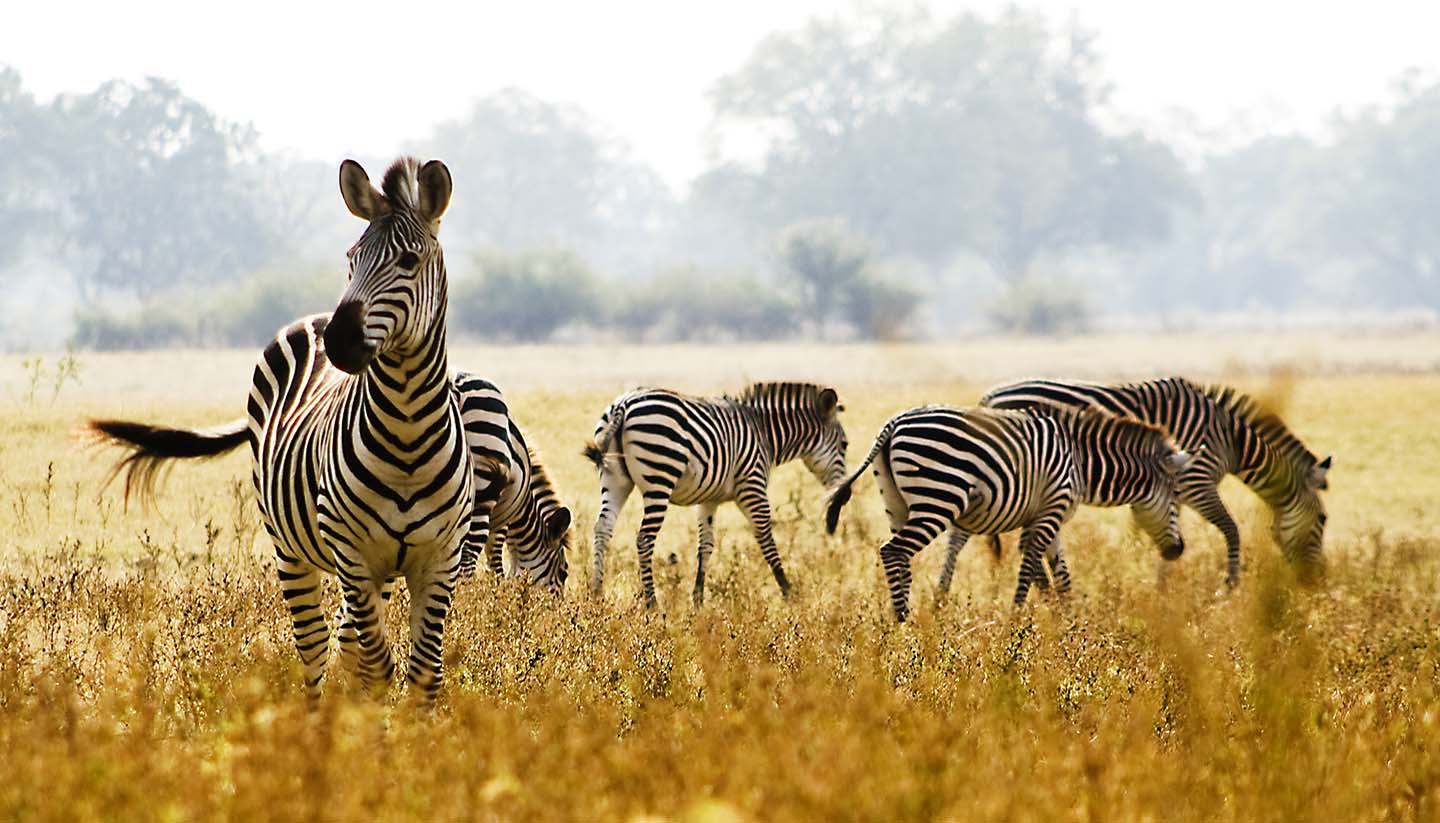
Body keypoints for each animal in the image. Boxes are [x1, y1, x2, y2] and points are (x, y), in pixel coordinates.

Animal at [88, 158, 472, 702]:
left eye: (409, 261)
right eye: (351, 258)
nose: (340, 340)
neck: (408, 434)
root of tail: (312, 318)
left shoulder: (440, 559)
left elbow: (424, 673)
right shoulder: (352, 553)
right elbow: (377, 666)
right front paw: (368, 728)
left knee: (345, 644)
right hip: (292, 548)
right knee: (314, 648)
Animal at [584, 382, 846, 607]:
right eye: (845, 445)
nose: (843, 497)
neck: (765, 432)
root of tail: (624, 404)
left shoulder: (708, 500)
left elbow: (706, 546)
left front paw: (698, 600)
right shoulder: (752, 486)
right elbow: (766, 539)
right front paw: (788, 592)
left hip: (615, 479)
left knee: (603, 529)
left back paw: (597, 594)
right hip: (660, 477)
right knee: (645, 539)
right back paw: (652, 604)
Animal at [829, 402, 1186, 621]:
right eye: (1176, 498)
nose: (1177, 551)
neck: (1080, 460)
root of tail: (893, 424)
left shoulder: (1048, 513)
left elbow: (1061, 572)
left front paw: (1067, 620)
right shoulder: (1051, 510)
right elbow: (1030, 564)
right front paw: (1017, 620)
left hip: (896, 503)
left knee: (900, 557)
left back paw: (902, 622)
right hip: (939, 497)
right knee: (893, 551)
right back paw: (903, 621)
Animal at [973, 379, 1330, 584]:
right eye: (1324, 520)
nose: (1316, 581)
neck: (1231, 441)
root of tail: (988, 398)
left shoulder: (1175, 491)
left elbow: (1168, 537)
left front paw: (1162, 591)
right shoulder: (1197, 481)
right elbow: (1231, 530)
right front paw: (1230, 585)